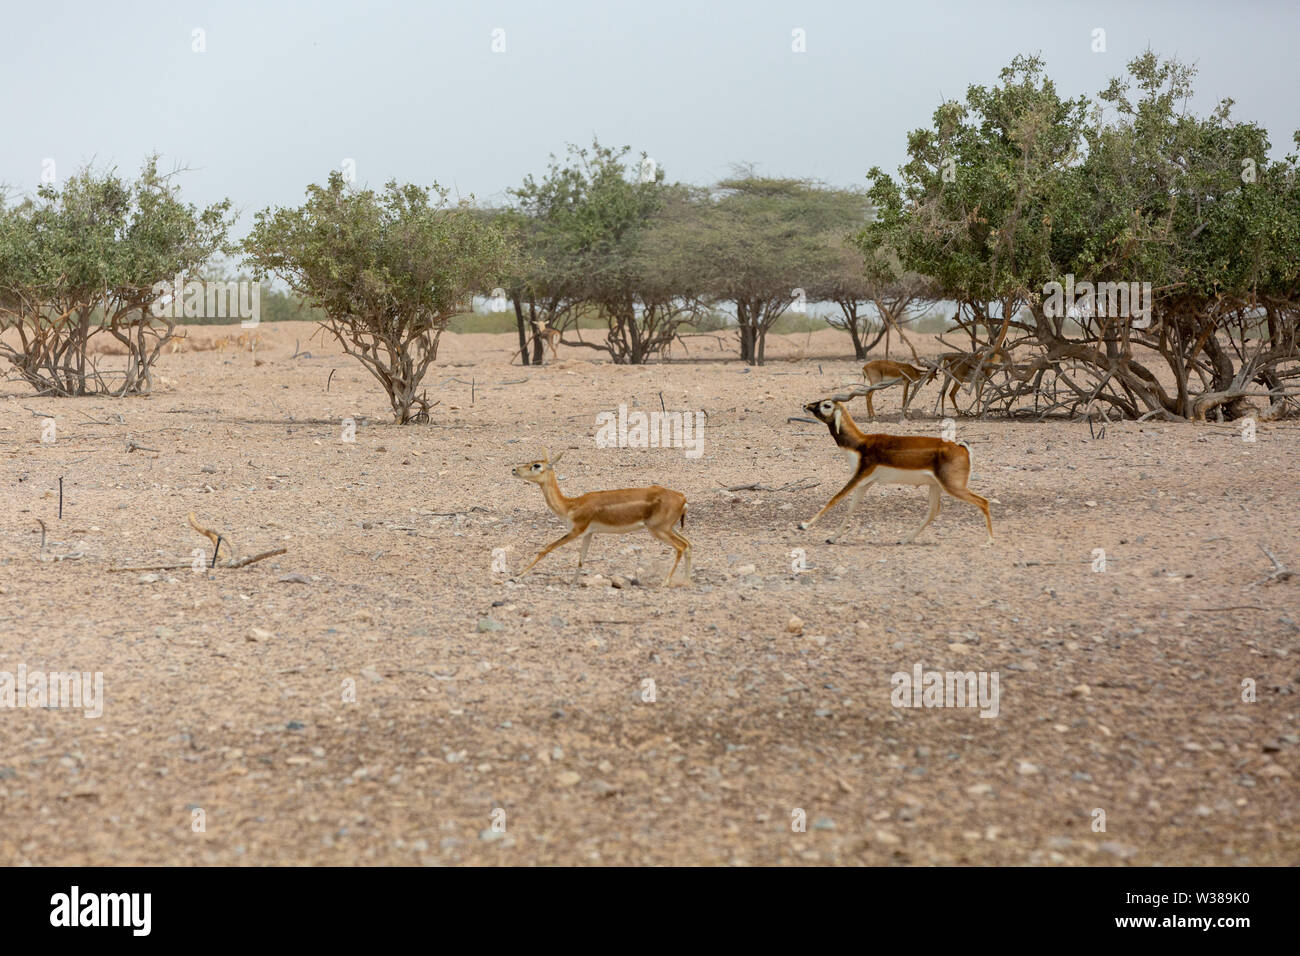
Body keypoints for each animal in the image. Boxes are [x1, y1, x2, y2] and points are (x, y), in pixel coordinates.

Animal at [511, 450, 692, 586]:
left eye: (536, 465)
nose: (514, 470)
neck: (570, 505)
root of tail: (682, 498)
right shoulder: (589, 533)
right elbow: (581, 559)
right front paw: (573, 583)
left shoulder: (577, 530)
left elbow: (546, 548)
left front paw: (517, 576)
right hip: (669, 528)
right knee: (689, 545)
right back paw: (686, 581)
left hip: (658, 529)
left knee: (681, 547)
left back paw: (665, 582)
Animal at [797, 387, 993, 546]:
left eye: (827, 405)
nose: (806, 405)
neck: (861, 444)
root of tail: (962, 447)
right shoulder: (866, 482)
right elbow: (851, 508)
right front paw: (832, 538)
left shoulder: (859, 475)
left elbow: (835, 498)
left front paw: (803, 525)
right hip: (935, 486)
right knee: (933, 511)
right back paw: (904, 539)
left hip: (953, 487)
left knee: (983, 502)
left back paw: (989, 541)